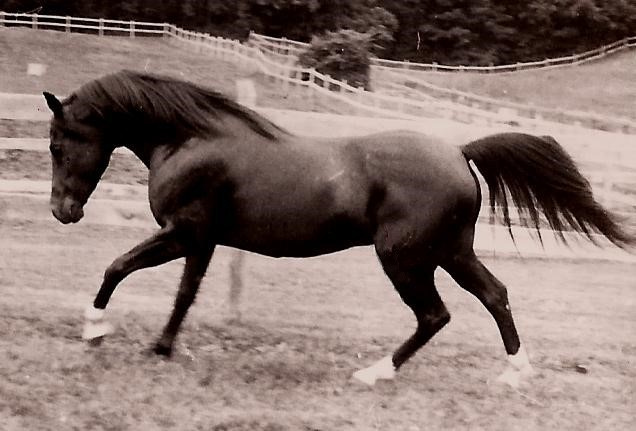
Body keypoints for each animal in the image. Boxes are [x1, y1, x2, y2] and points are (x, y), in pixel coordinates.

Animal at [43, 71, 632, 388]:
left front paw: (96, 331)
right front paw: (162, 348)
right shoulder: (201, 241)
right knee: (495, 295)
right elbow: (185, 294)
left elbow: (118, 267)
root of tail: (459, 151)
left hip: (405, 258)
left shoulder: (183, 232)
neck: (191, 140)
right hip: (450, 252)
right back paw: (514, 372)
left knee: (435, 315)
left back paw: (375, 374)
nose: (62, 212)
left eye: (56, 144)